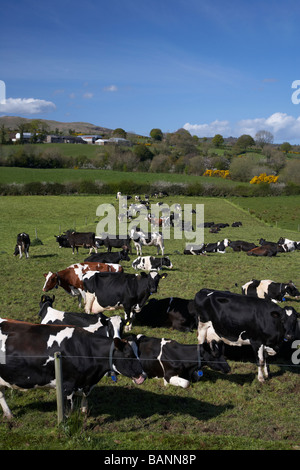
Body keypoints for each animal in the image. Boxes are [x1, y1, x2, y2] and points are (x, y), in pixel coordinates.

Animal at [0, 320, 146, 418]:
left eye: (139, 352)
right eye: (128, 355)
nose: (143, 376)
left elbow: (85, 400)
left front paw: (84, 413)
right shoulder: (67, 385)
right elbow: (68, 410)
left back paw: (9, 415)